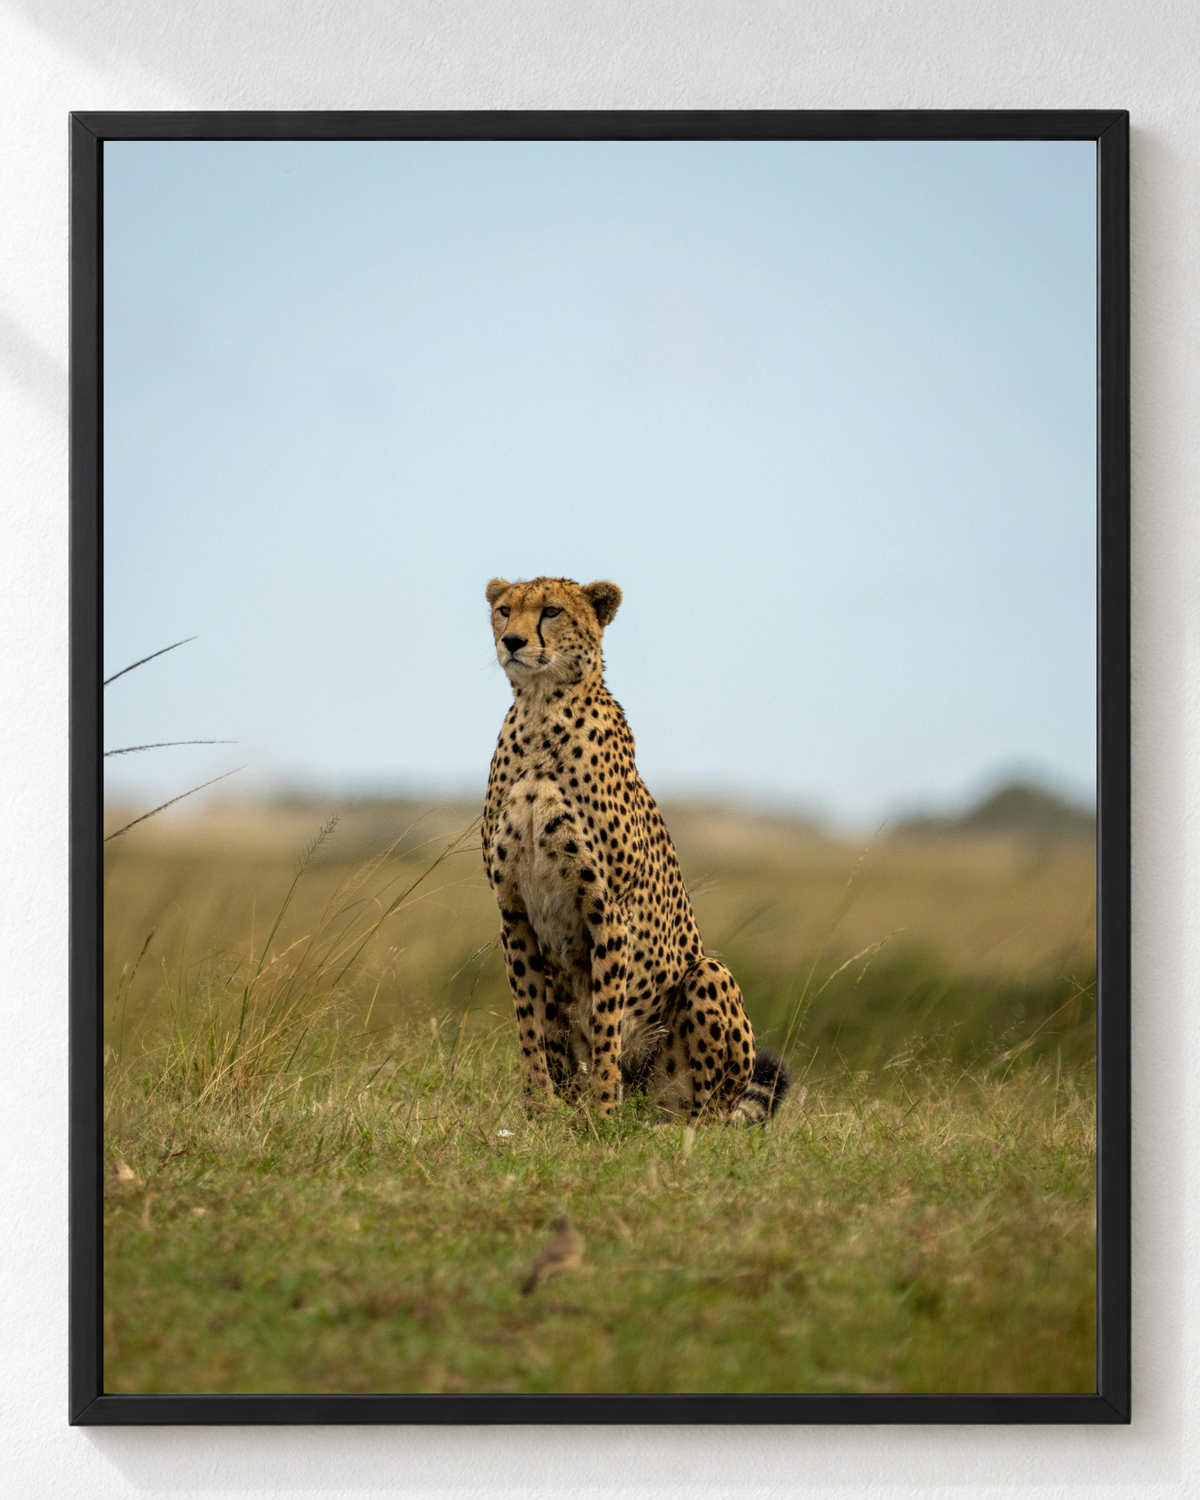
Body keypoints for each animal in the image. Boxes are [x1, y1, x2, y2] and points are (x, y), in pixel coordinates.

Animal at [481, 574, 790, 1126]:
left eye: (552, 611)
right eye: (504, 610)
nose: (512, 642)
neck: (540, 711)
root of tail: (654, 1104)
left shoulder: (607, 907)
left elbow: (606, 1019)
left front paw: (602, 1113)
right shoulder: (512, 908)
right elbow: (528, 1021)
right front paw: (537, 1112)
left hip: (707, 977)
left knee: (708, 1114)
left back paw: (665, 1124)